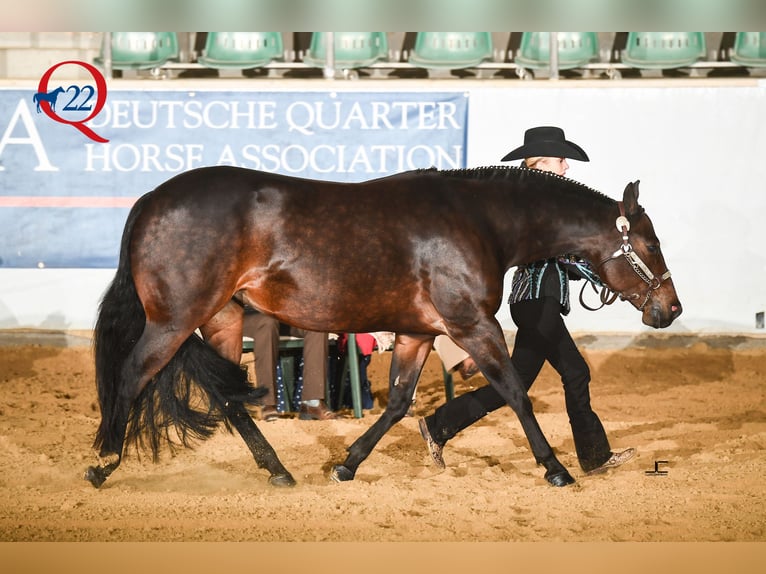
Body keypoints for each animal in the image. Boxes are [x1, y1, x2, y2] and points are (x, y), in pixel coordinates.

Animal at [84, 165, 682, 489]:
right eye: (651, 244)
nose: (671, 308)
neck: (480, 221)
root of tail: (151, 200)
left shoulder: (418, 333)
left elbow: (397, 403)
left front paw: (346, 465)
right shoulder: (471, 323)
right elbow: (515, 391)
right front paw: (556, 468)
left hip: (222, 320)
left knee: (230, 397)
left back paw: (278, 471)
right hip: (174, 320)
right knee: (133, 373)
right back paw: (103, 461)